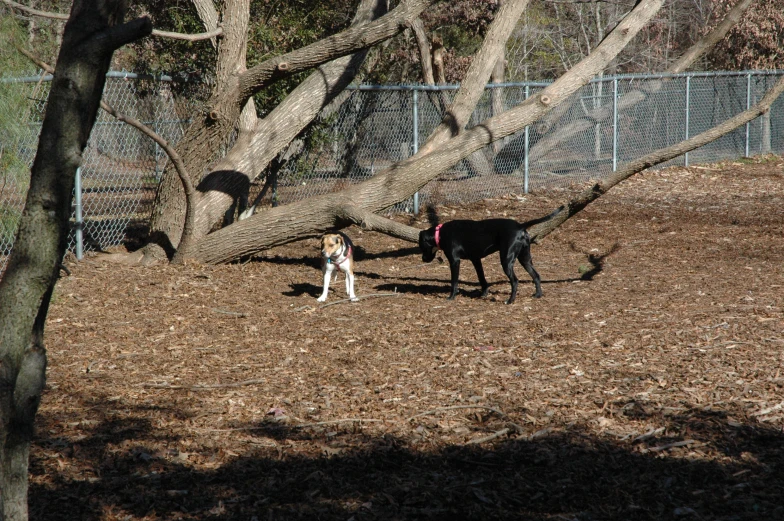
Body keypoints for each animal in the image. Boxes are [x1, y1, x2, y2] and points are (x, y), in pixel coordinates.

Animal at [420, 207, 560, 304]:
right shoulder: (476, 260)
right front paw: (483, 294)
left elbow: (454, 282)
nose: (423, 259)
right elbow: (482, 279)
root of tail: (520, 226)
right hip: (524, 259)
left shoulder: (455, 261)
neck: (440, 233)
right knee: (536, 275)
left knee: (515, 281)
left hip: (506, 260)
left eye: (421, 246)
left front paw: (451, 297)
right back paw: (538, 295)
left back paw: (510, 301)